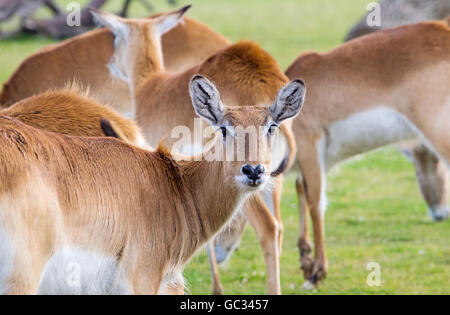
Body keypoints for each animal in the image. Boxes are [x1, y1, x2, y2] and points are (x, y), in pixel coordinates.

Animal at [89, 6, 298, 296]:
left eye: (113, 36)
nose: (110, 64)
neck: (150, 86)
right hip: (271, 180)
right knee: (279, 229)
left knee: (268, 228)